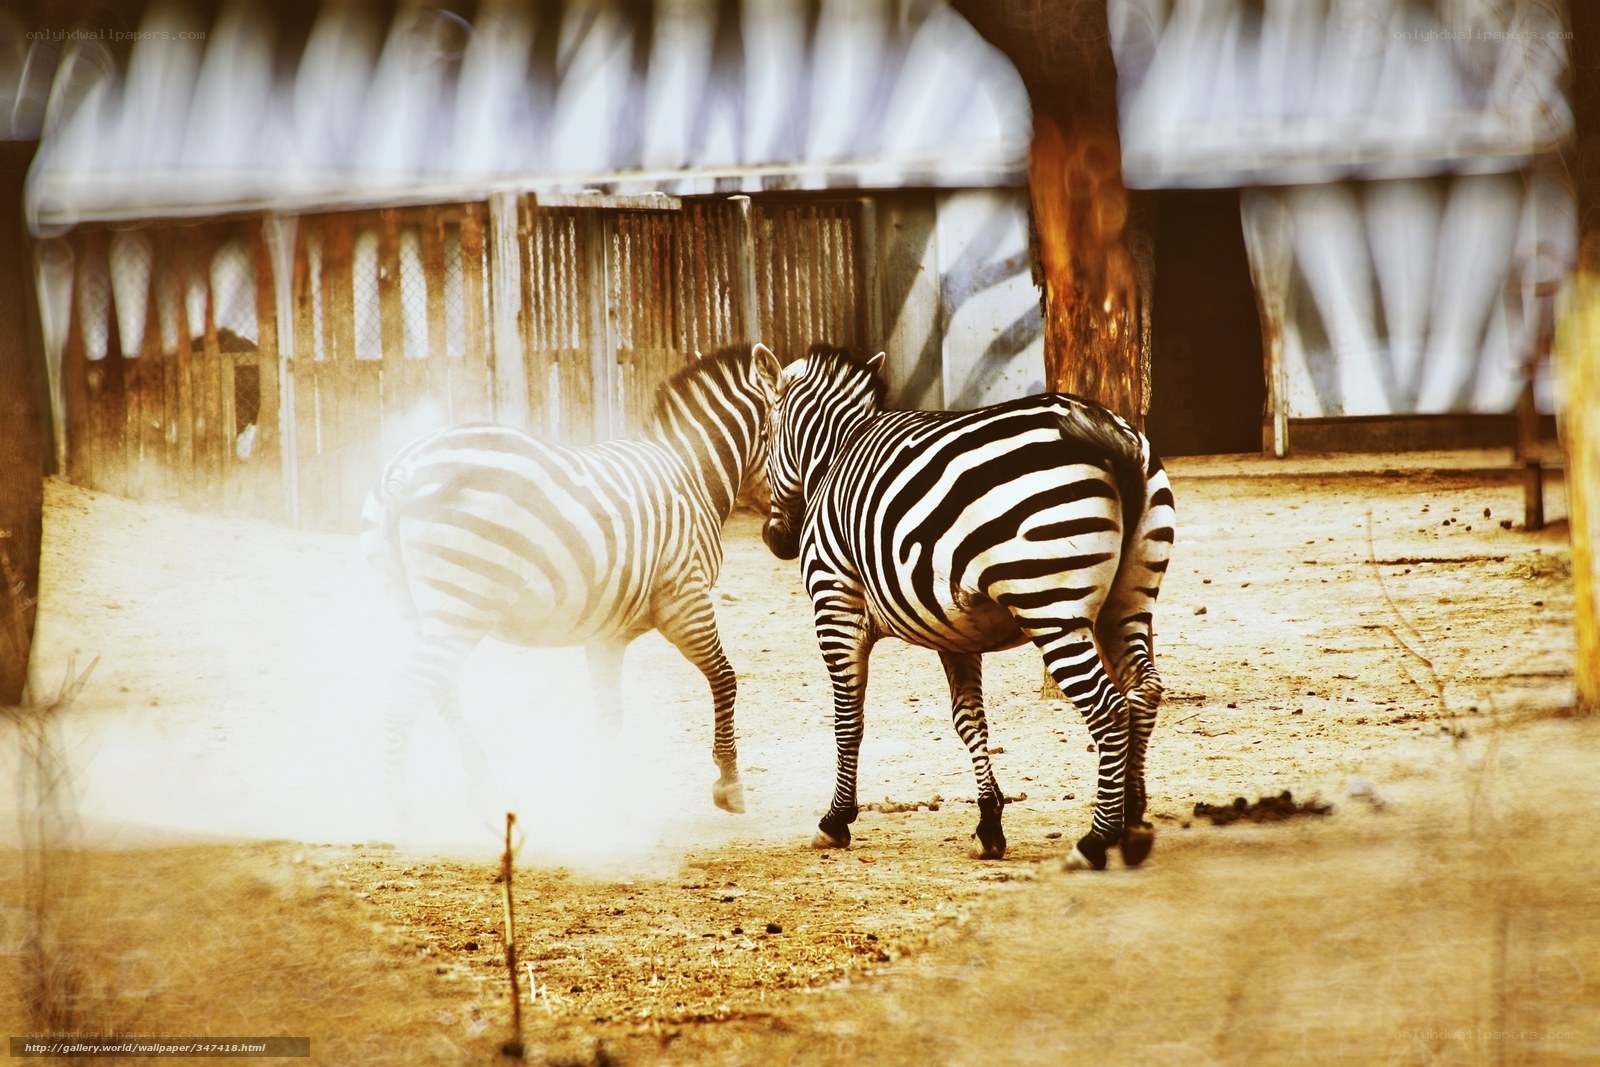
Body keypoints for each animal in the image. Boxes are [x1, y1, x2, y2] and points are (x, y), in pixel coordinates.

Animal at [362, 342, 783, 821]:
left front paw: (608, 794)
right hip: (461, 604)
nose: (779, 538)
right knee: (405, 694)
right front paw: (729, 783)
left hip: (417, 606)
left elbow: (609, 712)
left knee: (438, 689)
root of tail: (405, 468)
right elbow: (725, 679)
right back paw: (398, 809)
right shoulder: (686, 598)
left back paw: (480, 783)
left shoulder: (607, 635)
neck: (691, 473)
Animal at [761, 346, 1176, 871]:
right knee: (1145, 690)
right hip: (1129, 600)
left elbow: (848, 720)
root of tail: (1107, 428)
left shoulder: (834, 602)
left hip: (1052, 608)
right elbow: (968, 721)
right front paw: (989, 822)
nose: (776, 541)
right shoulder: (953, 629)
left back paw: (1096, 840)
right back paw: (1134, 822)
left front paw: (836, 820)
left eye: (764, 434)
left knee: (1109, 709)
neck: (835, 451)